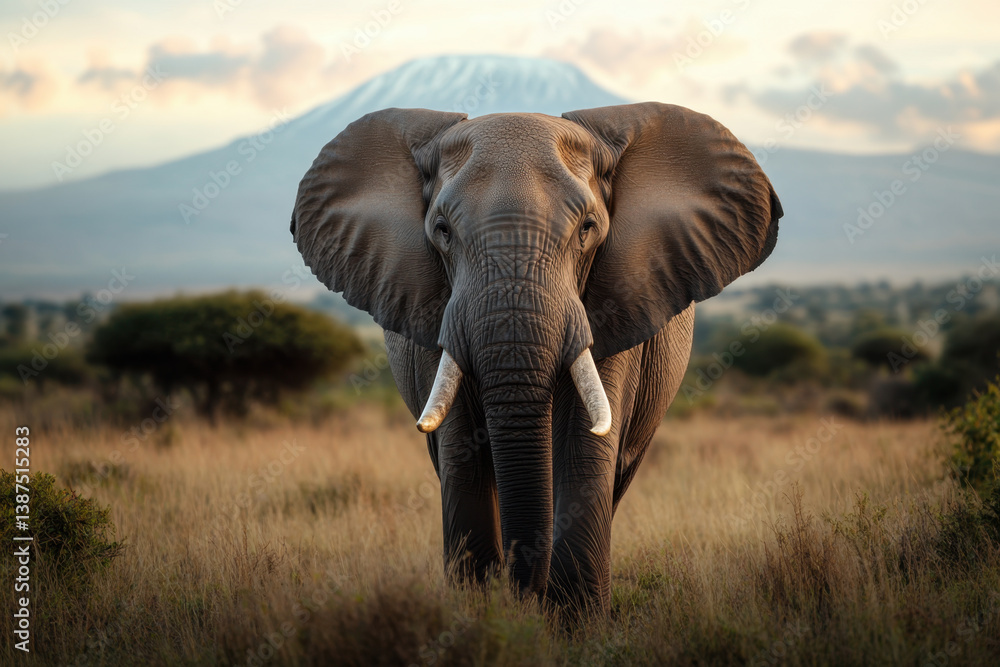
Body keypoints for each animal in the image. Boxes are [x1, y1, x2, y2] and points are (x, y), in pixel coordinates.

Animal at [291, 102, 783, 612]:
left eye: (587, 229)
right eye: (442, 231)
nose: (524, 597)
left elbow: (584, 447)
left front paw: (573, 622)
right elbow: (462, 452)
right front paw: (482, 614)